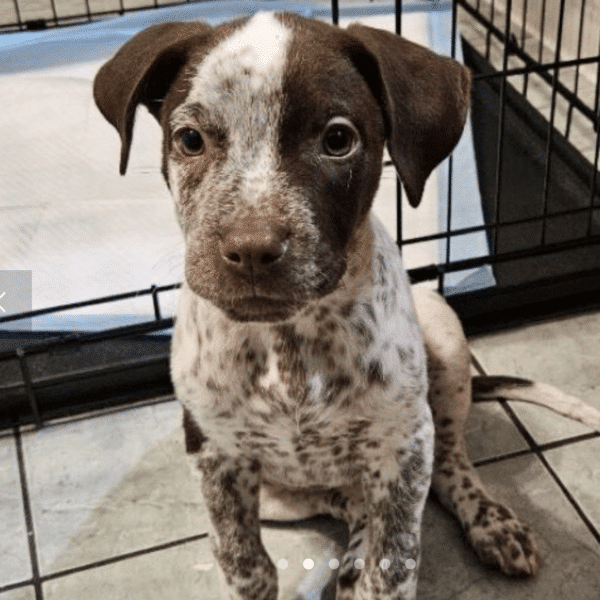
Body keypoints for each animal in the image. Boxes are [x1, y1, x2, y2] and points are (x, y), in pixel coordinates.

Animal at [92, 11, 596, 596]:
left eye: (338, 139)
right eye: (189, 139)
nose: (250, 250)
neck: (289, 343)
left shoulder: (402, 450)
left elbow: (394, 562)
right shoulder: (215, 455)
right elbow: (246, 564)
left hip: (440, 334)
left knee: (447, 465)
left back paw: (489, 521)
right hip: (279, 498)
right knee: (349, 503)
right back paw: (352, 556)